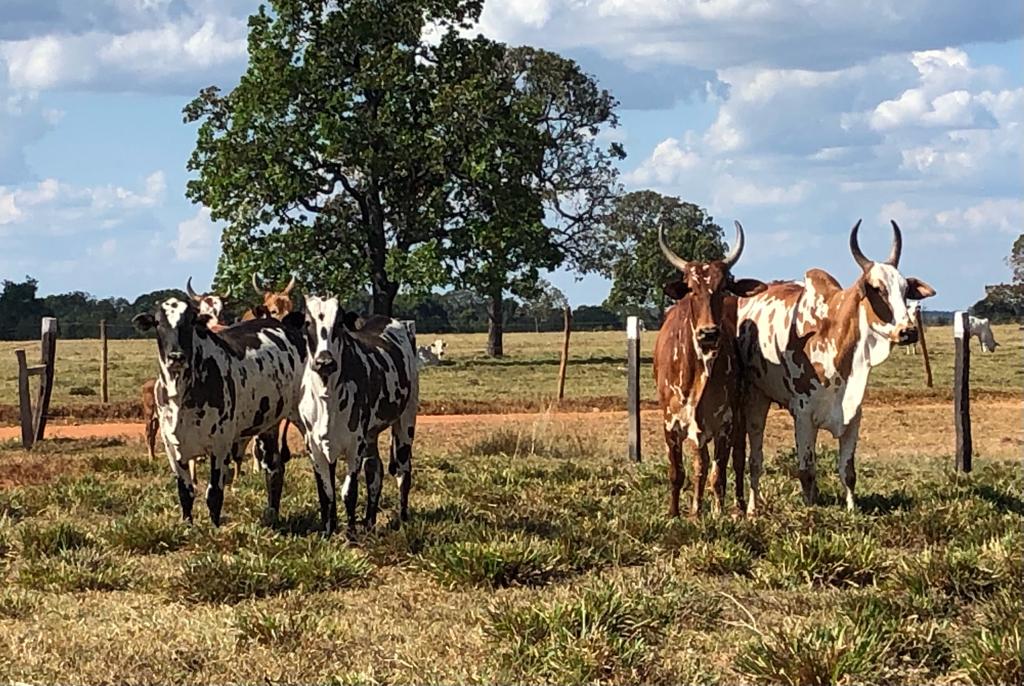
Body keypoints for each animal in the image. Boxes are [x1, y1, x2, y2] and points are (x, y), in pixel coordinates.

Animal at [130, 296, 303, 528]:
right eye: (158, 323)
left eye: (190, 321)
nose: (176, 356)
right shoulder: (172, 446)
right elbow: (185, 492)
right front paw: (187, 525)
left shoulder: (220, 445)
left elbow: (214, 494)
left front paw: (214, 527)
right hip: (267, 424)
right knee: (274, 467)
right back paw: (272, 514)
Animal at [299, 294, 417, 536]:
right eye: (307, 323)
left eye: (339, 323)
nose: (324, 362)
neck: (327, 397)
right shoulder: (314, 445)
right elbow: (326, 492)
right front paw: (327, 532)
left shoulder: (355, 444)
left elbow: (349, 491)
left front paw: (351, 534)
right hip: (371, 435)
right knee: (375, 471)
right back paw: (370, 522)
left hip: (405, 421)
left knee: (403, 472)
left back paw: (402, 519)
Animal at [651, 223, 765, 518]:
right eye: (691, 288)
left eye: (723, 286)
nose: (709, 333)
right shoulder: (671, 422)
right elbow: (678, 472)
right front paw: (676, 513)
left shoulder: (725, 422)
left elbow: (719, 474)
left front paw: (717, 512)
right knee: (700, 465)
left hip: (739, 414)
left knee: (737, 460)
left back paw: (737, 506)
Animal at [737, 223, 937, 513]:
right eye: (877, 288)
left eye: (904, 290)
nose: (908, 331)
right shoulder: (803, 416)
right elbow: (807, 472)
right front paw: (811, 511)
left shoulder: (853, 416)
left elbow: (848, 472)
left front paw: (852, 511)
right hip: (755, 400)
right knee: (754, 460)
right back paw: (752, 508)